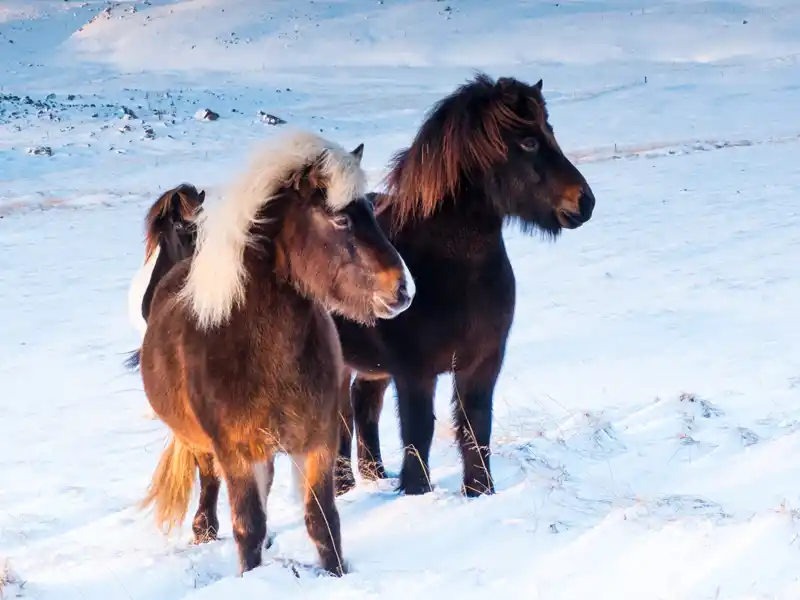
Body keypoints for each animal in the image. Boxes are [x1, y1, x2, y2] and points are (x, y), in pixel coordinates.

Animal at [137, 131, 416, 576]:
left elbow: (322, 521)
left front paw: (336, 573)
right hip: (203, 444)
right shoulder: (236, 453)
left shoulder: (316, 442)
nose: (402, 290)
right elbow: (247, 525)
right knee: (209, 481)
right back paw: (204, 528)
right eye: (340, 219)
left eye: (372, 210)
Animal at [330, 74, 592, 496]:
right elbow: (418, 433)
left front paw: (480, 491)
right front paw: (417, 491)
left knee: (362, 404)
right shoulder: (415, 374)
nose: (584, 202)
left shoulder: (482, 364)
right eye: (528, 141)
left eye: (549, 131)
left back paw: (374, 475)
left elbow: (475, 427)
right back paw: (343, 487)